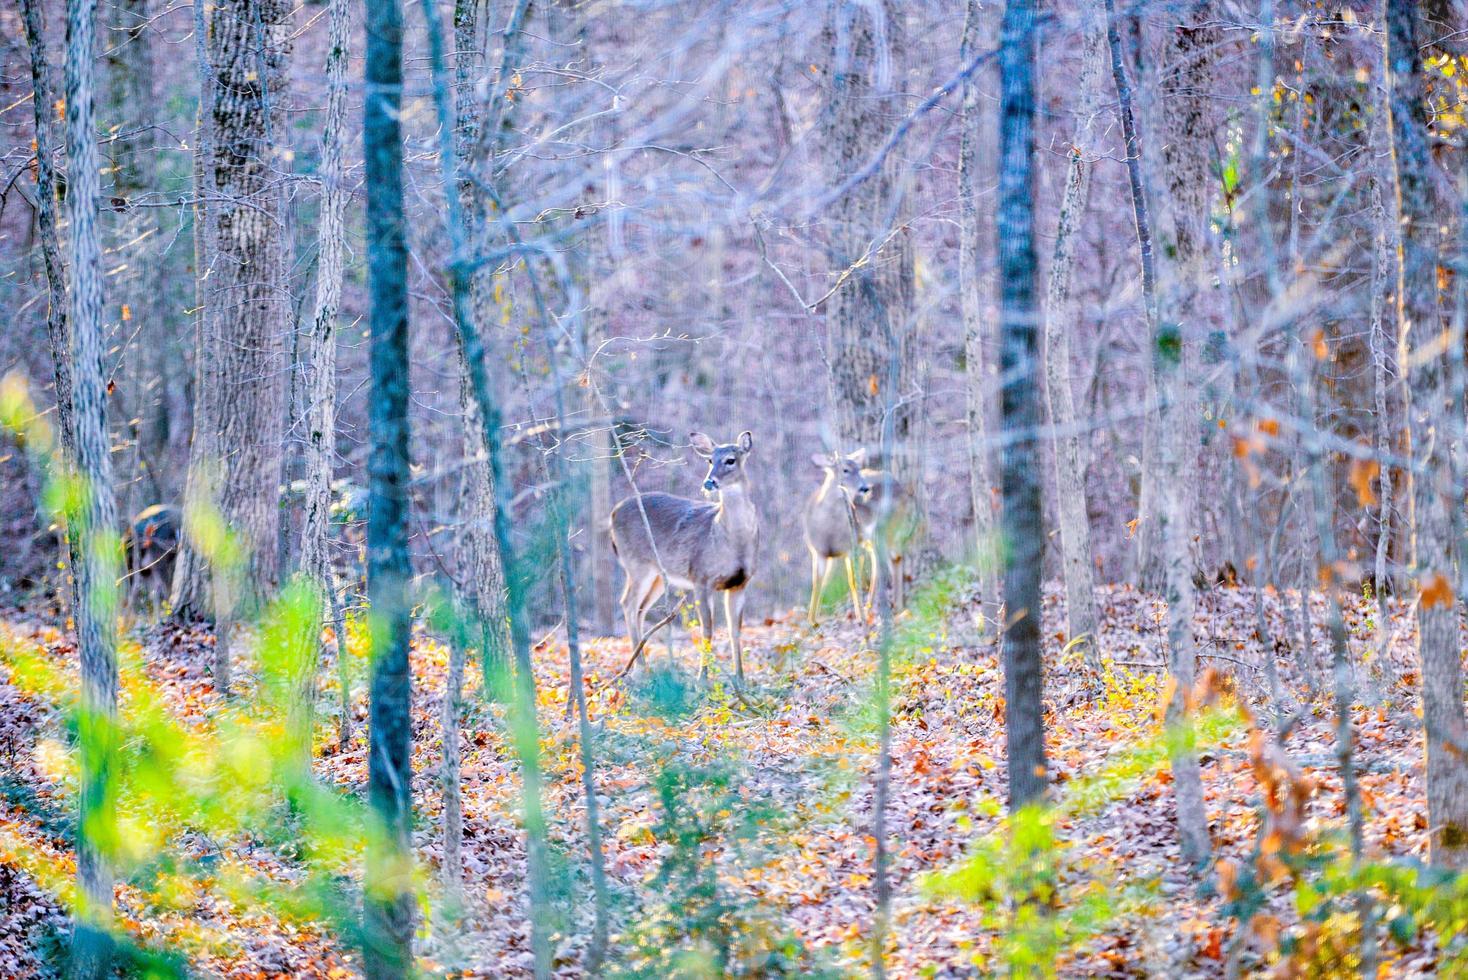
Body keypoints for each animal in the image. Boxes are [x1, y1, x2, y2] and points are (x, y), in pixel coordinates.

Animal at [610, 431, 763, 686]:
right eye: (710, 460)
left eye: (730, 460)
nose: (709, 482)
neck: (730, 540)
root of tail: (612, 514)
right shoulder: (701, 577)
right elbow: (707, 629)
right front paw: (703, 679)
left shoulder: (740, 583)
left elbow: (736, 631)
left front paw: (741, 679)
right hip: (637, 564)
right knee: (628, 604)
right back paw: (641, 670)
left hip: (658, 576)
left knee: (639, 609)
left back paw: (641, 667)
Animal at [804, 448, 869, 624]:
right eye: (845, 470)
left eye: (859, 469)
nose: (864, 488)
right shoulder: (818, 551)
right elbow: (817, 583)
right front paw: (811, 620)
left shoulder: (850, 547)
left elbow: (853, 581)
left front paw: (860, 616)